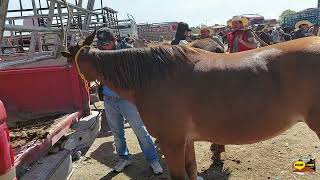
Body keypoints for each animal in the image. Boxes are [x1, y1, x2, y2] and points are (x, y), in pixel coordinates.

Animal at [60, 30, 320, 179]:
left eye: (70, 65)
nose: (93, 93)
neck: (152, 76)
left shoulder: (171, 142)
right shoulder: (186, 141)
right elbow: (192, 171)